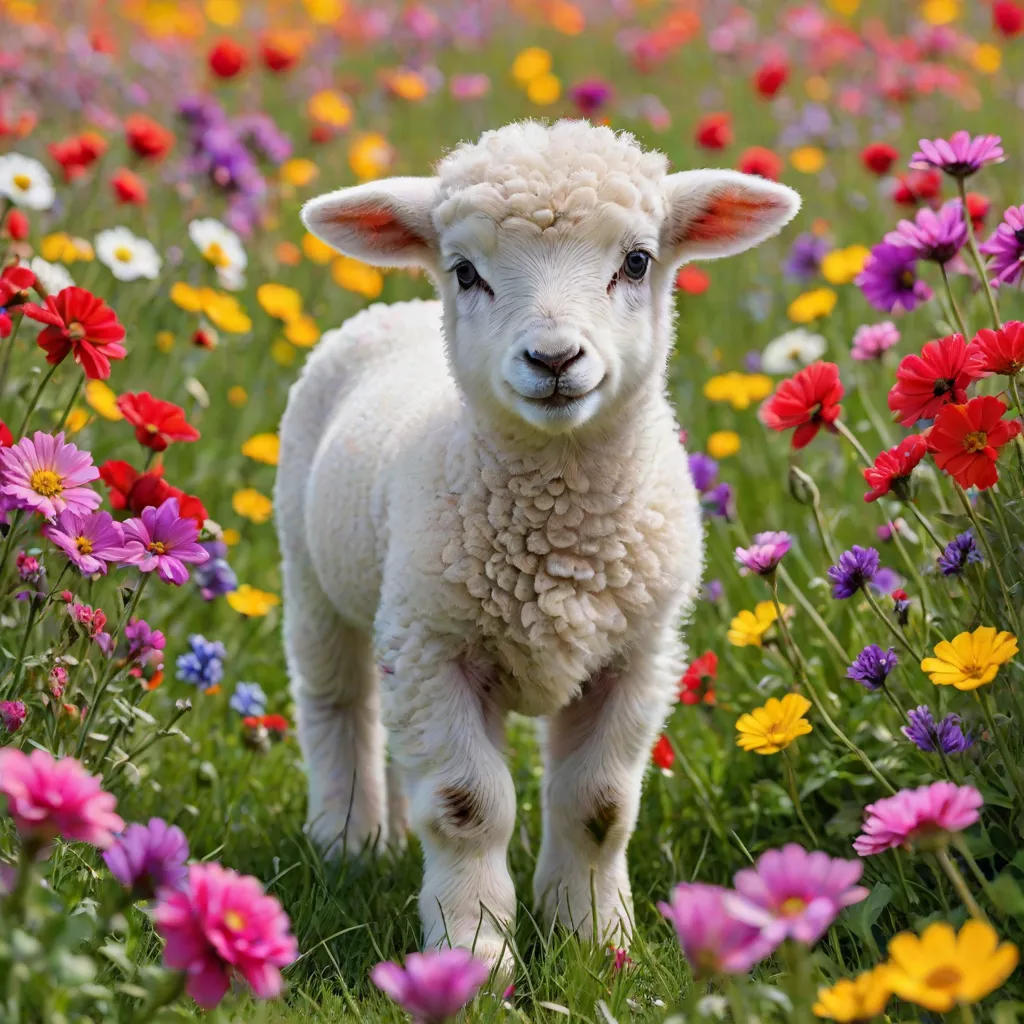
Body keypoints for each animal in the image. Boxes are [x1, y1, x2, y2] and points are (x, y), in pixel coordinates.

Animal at [277, 119, 799, 969]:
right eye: (465, 271)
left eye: (636, 261)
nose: (554, 360)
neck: (558, 535)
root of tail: (393, 310)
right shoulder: (435, 647)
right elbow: (467, 807)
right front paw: (474, 952)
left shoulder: (637, 655)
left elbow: (599, 805)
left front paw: (594, 940)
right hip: (313, 574)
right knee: (338, 703)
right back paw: (348, 839)